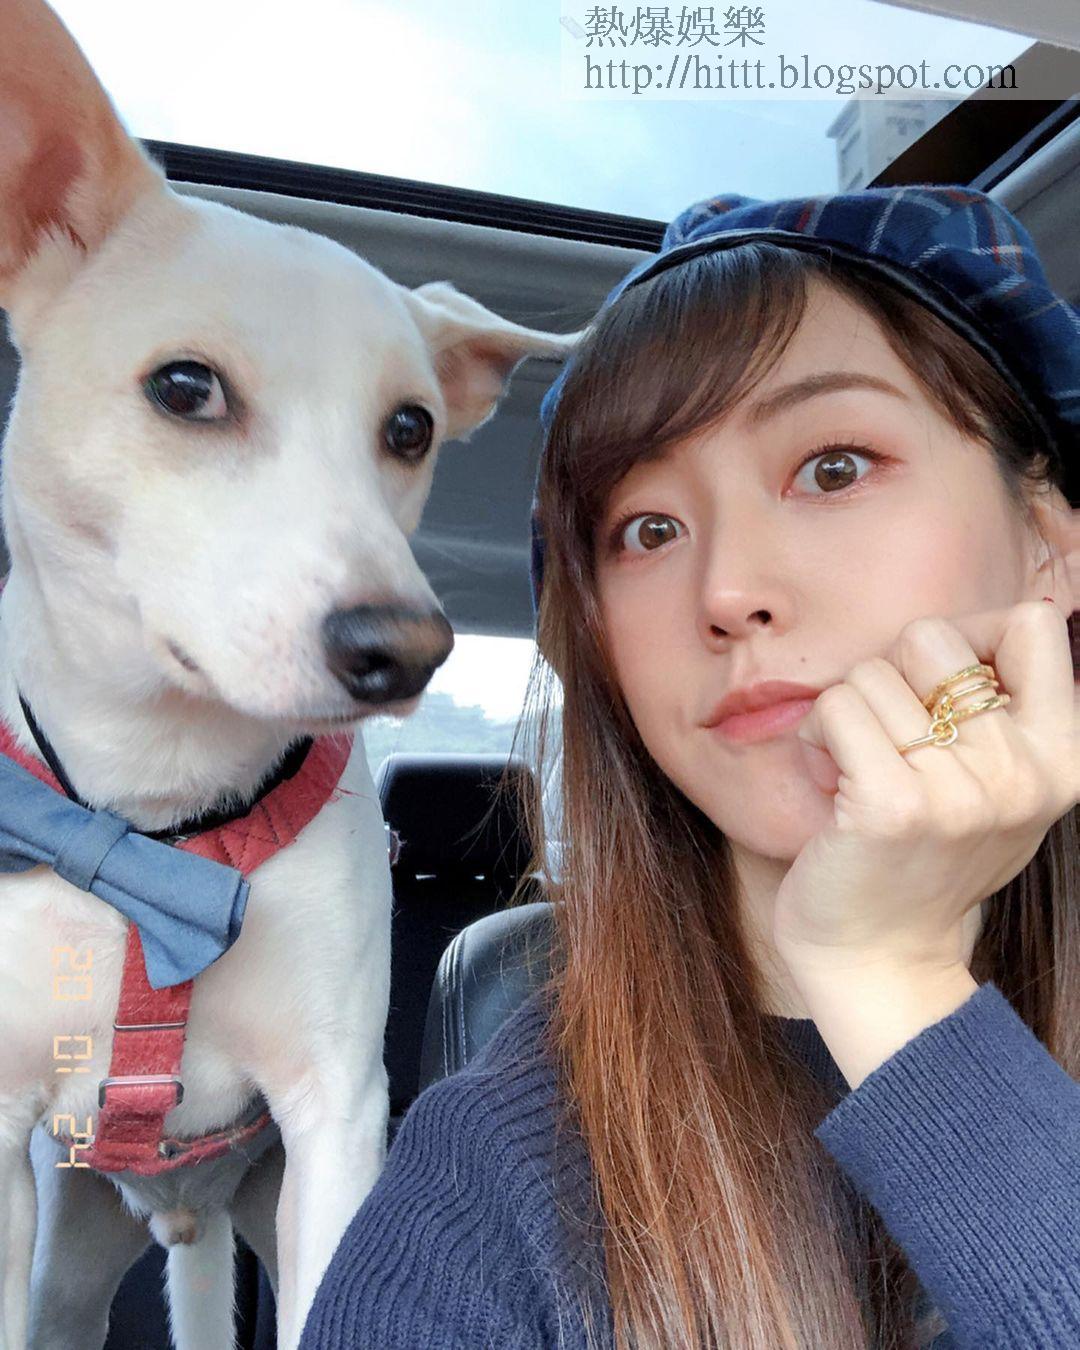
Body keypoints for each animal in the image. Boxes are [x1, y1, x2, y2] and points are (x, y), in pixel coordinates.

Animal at [0, 3, 578, 1347]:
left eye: (410, 428)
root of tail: (186, 1210)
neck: (155, 830)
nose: (405, 648)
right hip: (69, 1263)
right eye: (185, 387)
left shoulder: (332, 1121)